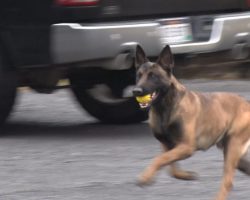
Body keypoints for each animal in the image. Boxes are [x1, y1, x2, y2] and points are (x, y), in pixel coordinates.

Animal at [132, 45, 250, 200]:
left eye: (153, 76)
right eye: (139, 75)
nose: (136, 91)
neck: (165, 108)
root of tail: (247, 103)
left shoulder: (186, 146)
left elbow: (159, 159)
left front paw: (145, 177)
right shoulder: (167, 145)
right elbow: (169, 165)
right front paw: (185, 175)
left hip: (233, 148)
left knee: (227, 182)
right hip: (236, 155)